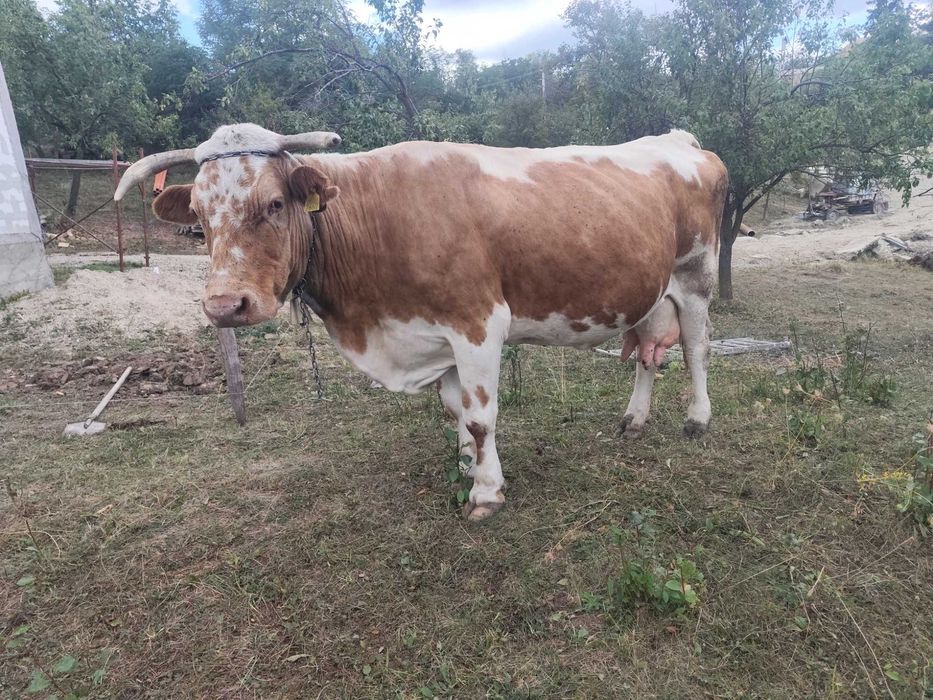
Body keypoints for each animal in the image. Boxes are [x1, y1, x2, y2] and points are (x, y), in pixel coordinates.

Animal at [115, 124, 729, 520]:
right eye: (198, 215)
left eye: (274, 204)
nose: (225, 306)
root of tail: (678, 139)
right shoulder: (436, 333)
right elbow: (456, 410)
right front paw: (467, 466)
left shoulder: (479, 323)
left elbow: (481, 416)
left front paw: (485, 492)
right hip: (649, 292)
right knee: (649, 355)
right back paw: (634, 418)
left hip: (696, 277)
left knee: (695, 349)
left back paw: (698, 419)